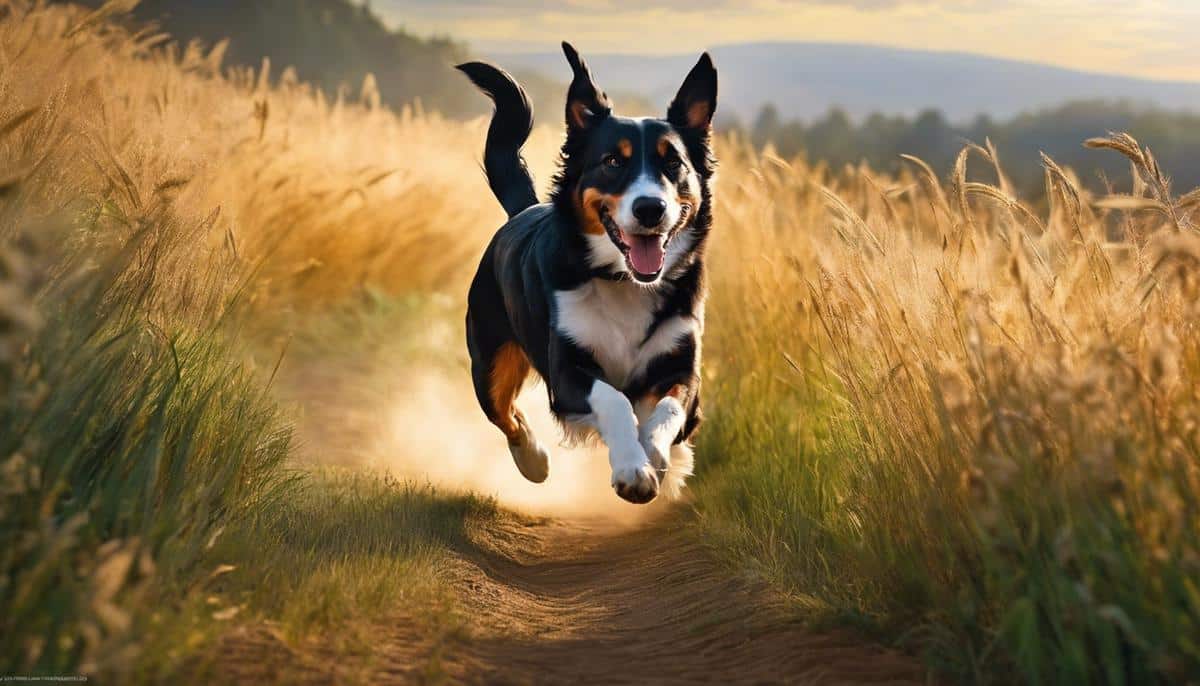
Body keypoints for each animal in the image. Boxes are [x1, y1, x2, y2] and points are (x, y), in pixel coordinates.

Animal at [456, 42, 720, 503]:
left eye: (674, 164)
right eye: (612, 161)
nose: (650, 208)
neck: (624, 282)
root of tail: (522, 211)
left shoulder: (682, 368)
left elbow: (667, 410)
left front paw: (654, 458)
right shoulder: (568, 371)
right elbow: (614, 400)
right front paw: (632, 466)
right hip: (487, 360)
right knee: (504, 413)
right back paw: (533, 460)